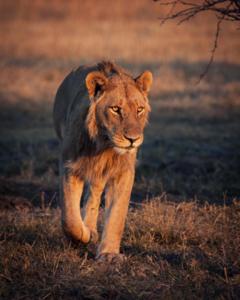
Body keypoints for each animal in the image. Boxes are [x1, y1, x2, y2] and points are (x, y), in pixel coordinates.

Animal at [53, 61, 153, 260]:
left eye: (139, 110)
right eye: (115, 109)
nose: (133, 139)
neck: (104, 145)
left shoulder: (123, 172)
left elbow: (117, 215)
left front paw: (108, 254)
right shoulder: (69, 166)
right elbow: (69, 216)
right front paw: (82, 235)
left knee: (94, 195)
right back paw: (88, 231)